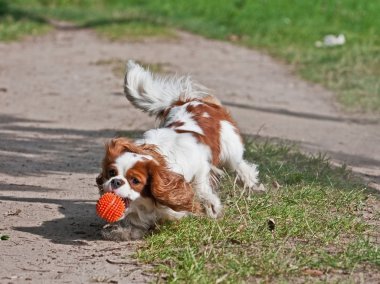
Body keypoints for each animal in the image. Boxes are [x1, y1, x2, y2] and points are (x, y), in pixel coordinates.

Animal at [95, 60, 262, 240]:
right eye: (112, 173)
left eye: (135, 181)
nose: (116, 181)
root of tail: (189, 101)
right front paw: (123, 231)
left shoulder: (200, 165)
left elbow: (200, 188)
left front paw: (211, 206)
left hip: (229, 148)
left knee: (238, 164)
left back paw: (249, 181)